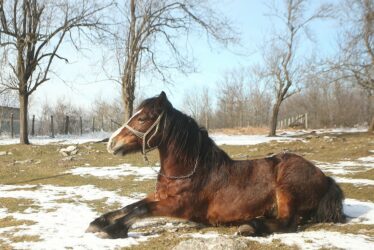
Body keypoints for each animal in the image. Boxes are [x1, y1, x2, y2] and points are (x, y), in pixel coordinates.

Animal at [86, 91, 346, 238]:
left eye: (142, 118)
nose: (112, 143)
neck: (191, 171)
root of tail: (324, 178)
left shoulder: (180, 206)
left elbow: (140, 210)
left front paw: (111, 230)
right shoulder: (161, 197)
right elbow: (132, 206)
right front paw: (98, 222)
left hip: (287, 190)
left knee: (287, 223)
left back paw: (250, 227)